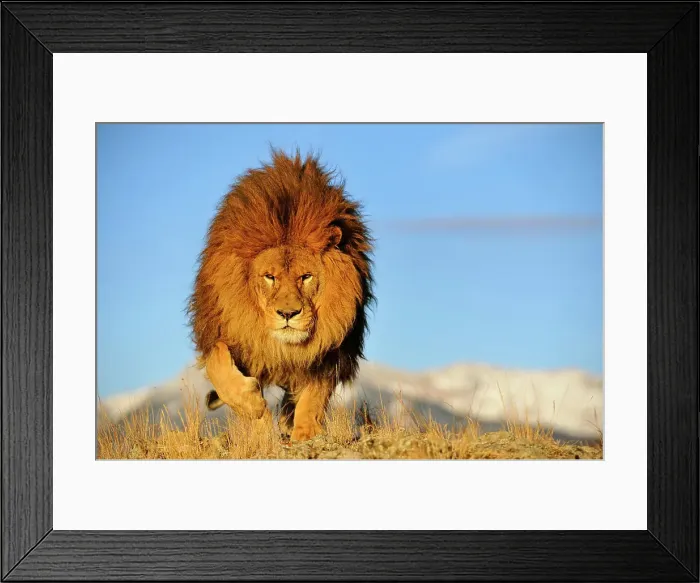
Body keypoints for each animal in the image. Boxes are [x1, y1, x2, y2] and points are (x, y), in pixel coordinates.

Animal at [187, 148, 374, 442]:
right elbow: (219, 366)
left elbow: (314, 394)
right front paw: (255, 409)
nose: (288, 314)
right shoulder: (223, 331)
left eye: (305, 277)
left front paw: (305, 432)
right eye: (269, 277)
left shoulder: (333, 349)